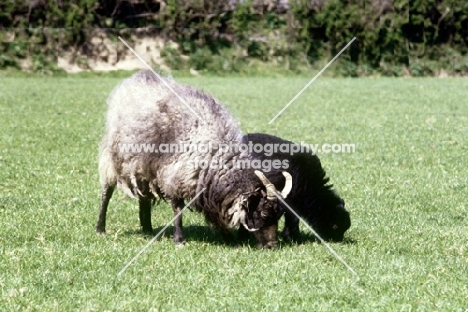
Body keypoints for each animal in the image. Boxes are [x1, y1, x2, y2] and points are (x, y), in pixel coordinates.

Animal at [95, 70, 292, 249]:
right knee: (107, 191)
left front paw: (228, 237)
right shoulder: (174, 176)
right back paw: (100, 228)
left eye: (279, 215)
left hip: (142, 166)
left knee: (144, 196)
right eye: (264, 213)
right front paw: (179, 240)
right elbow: (178, 209)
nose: (273, 246)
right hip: (112, 158)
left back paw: (147, 228)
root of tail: (137, 77)